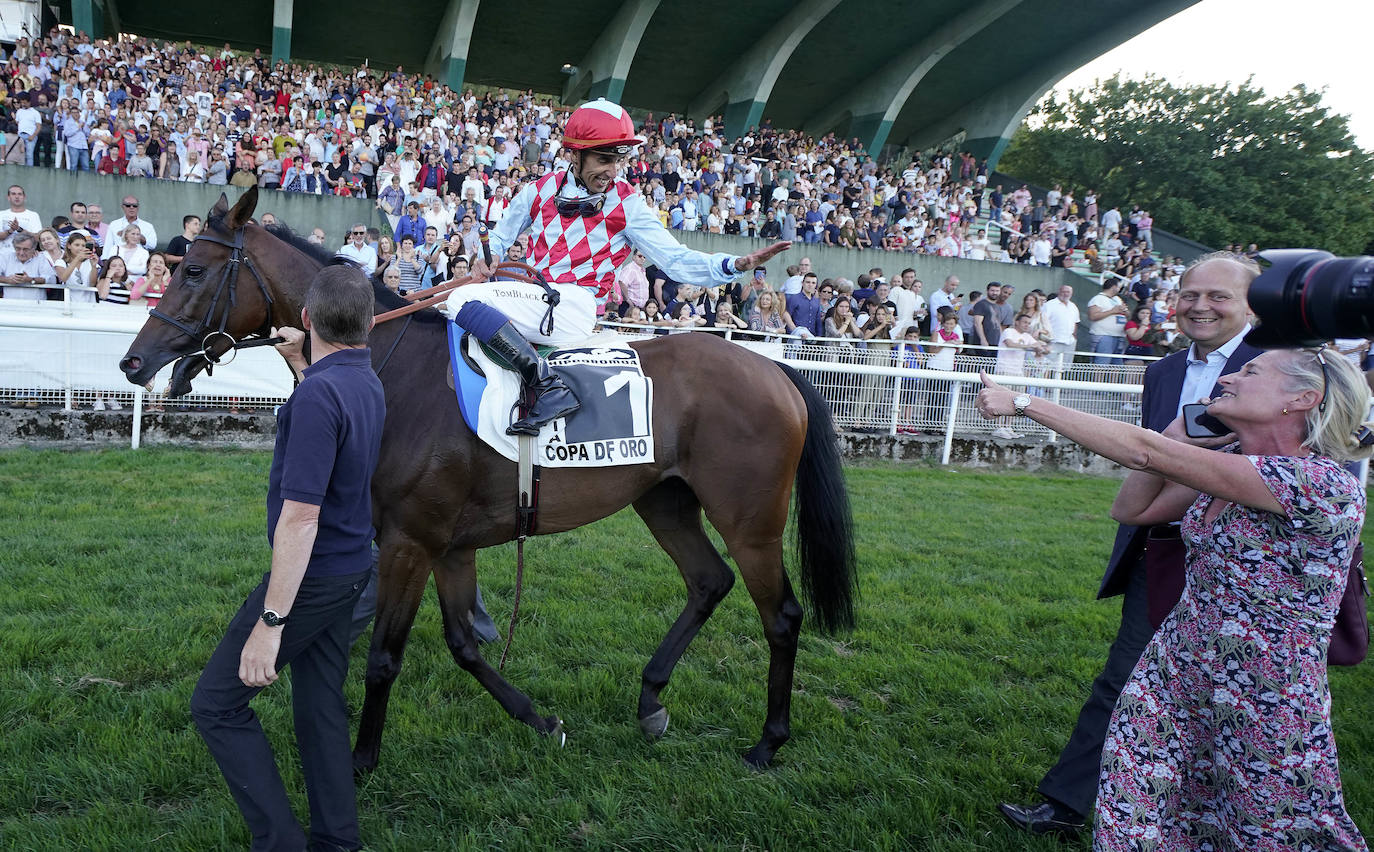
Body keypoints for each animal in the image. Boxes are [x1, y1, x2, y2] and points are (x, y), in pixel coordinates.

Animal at [118, 188, 851, 769]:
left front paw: (360, 761)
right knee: (708, 582)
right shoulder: (449, 545)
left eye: (193, 269)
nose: (132, 362)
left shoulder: (410, 541)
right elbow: (464, 646)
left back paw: (768, 741)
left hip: (750, 519)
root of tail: (775, 368)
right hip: (664, 501)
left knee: (781, 614)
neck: (390, 367)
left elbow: (385, 656)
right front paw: (539, 719)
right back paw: (650, 700)